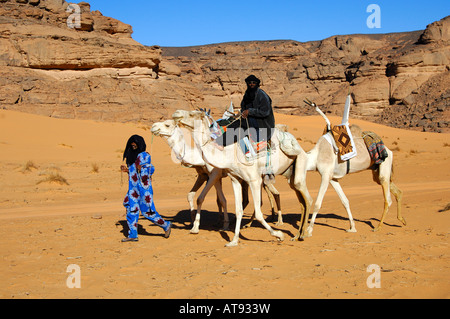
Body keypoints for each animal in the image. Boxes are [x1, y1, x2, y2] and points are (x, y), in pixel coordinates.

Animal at [171, 110, 312, 248]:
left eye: (191, 114)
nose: (176, 113)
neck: (228, 154)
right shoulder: (235, 179)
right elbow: (238, 210)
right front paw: (233, 240)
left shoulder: (253, 180)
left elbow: (259, 213)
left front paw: (279, 235)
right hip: (290, 173)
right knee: (301, 202)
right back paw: (296, 235)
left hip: (299, 165)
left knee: (307, 199)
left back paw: (304, 234)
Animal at [294, 99, 406, 240]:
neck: (315, 156)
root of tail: (389, 150)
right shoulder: (333, 178)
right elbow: (345, 201)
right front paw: (352, 227)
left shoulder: (325, 175)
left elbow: (318, 203)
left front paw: (309, 231)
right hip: (377, 170)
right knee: (397, 192)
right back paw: (402, 220)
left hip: (384, 168)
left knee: (388, 199)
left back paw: (378, 227)